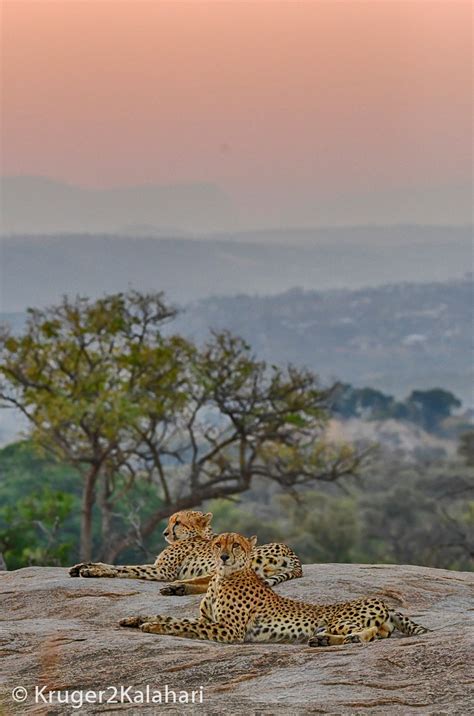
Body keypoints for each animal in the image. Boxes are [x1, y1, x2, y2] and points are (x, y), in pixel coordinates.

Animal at [68, 510, 302, 592]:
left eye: (177, 522)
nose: (164, 532)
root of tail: (290, 551)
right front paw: (82, 565)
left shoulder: (163, 571)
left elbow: (124, 568)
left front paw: (92, 570)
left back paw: (177, 586)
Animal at [119, 528, 430, 648]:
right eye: (218, 544)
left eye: (236, 545)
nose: (224, 557)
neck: (222, 578)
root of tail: (383, 602)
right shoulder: (210, 620)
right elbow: (169, 615)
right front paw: (135, 618)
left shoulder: (229, 631)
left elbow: (180, 624)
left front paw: (152, 626)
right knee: (378, 633)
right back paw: (324, 640)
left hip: (341, 619)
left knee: (369, 634)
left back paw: (341, 639)